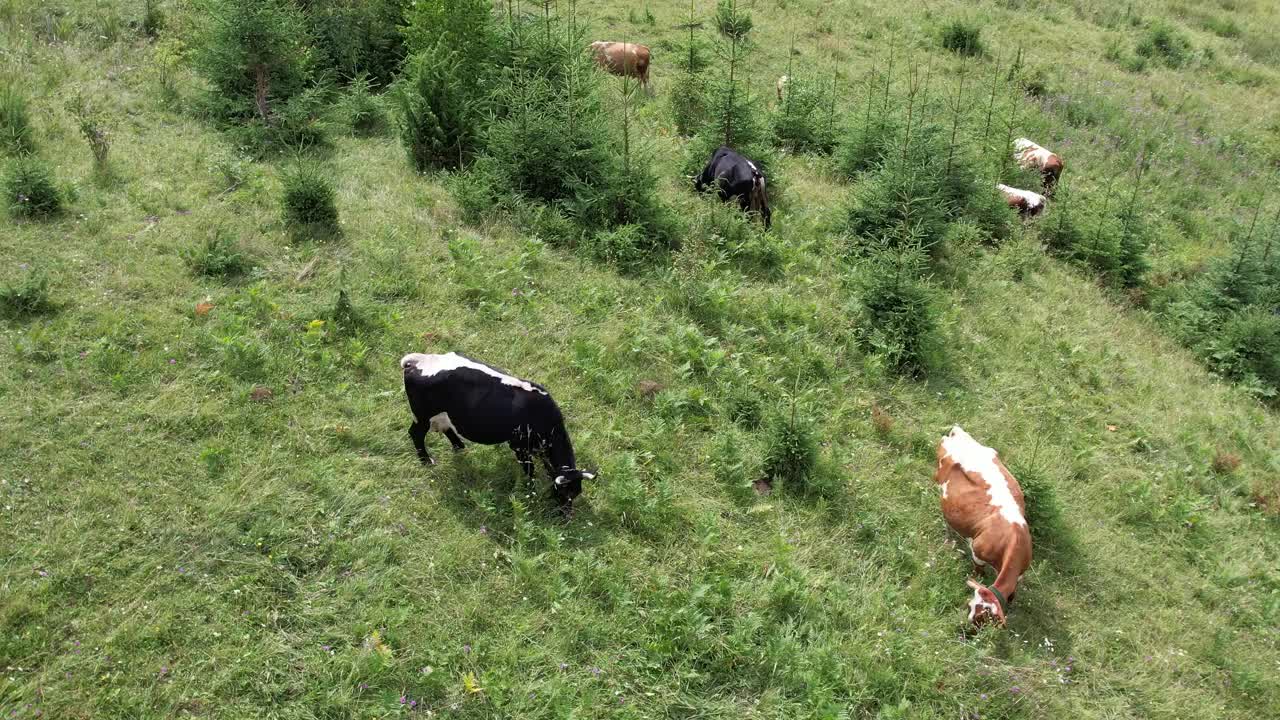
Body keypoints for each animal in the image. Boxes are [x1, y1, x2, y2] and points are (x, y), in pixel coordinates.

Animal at [401, 353, 596, 509]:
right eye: (565, 493)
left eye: (576, 493)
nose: (566, 515)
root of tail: (417, 360)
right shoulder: (519, 446)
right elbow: (529, 470)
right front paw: (531, 491)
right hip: (422, 416)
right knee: (415, 434)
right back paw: (426, 461)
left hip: (442, 414)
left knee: (447, 428)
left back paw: (459, 446)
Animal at [936, 425, 1034, 622]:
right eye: (969, 607)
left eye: (984, 617)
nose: (966, 626)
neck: (1013, 540)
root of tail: (959, 435)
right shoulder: (977, 552)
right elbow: (979, 571)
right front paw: (978, 577)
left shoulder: (1021, 573)